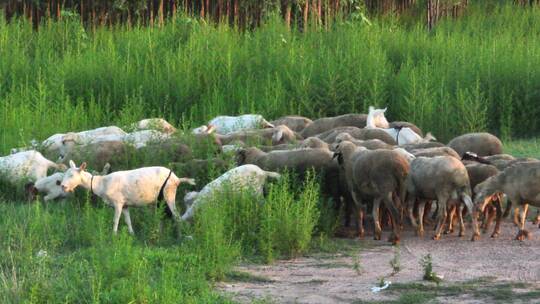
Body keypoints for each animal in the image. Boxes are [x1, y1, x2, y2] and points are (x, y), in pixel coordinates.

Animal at [61, 160, 196, 234]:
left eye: (72, 175)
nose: (62, 186)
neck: (102, 184)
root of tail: (177, 179)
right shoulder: (125, 204)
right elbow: (128, 220)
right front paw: (132, 234)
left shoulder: (118, 202)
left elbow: (115, 220)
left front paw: (113, 235)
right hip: (160, 199)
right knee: (162, 215)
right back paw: (159, 232)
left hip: (169, 193)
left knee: (176, 216)